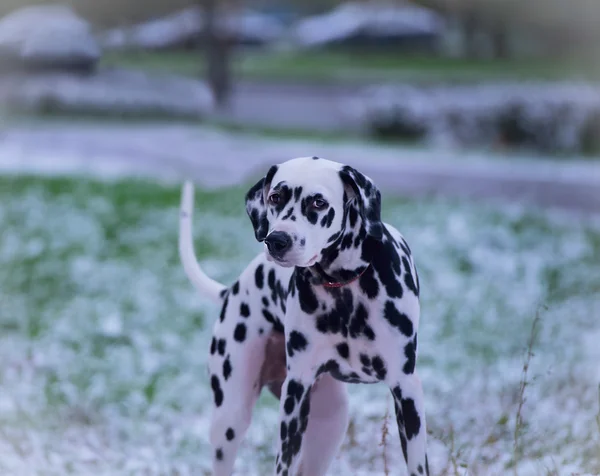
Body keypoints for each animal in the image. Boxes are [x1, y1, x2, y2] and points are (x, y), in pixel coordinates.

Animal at [180, 157, 428, 476]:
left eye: (318, 202)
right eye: (275, 197)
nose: (277, 240)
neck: (343, 288)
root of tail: (231, 289)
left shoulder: (406, 390)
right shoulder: (295, 396)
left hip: (330, 423)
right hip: (231, 418)